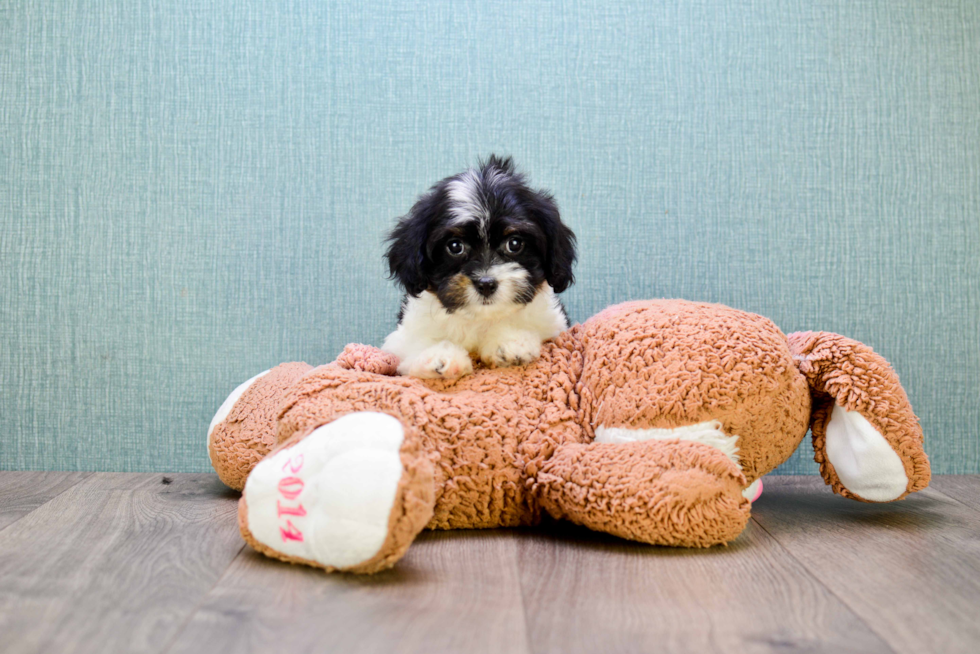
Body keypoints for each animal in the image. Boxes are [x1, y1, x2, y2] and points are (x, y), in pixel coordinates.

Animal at [382, 158, 580, 380]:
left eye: (514, 243)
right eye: (455, 246)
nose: (486, 284)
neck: (480, 319)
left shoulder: (554, 327)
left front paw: (510, 342)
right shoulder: (401, 337)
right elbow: (412, 344)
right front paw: (439, 357)